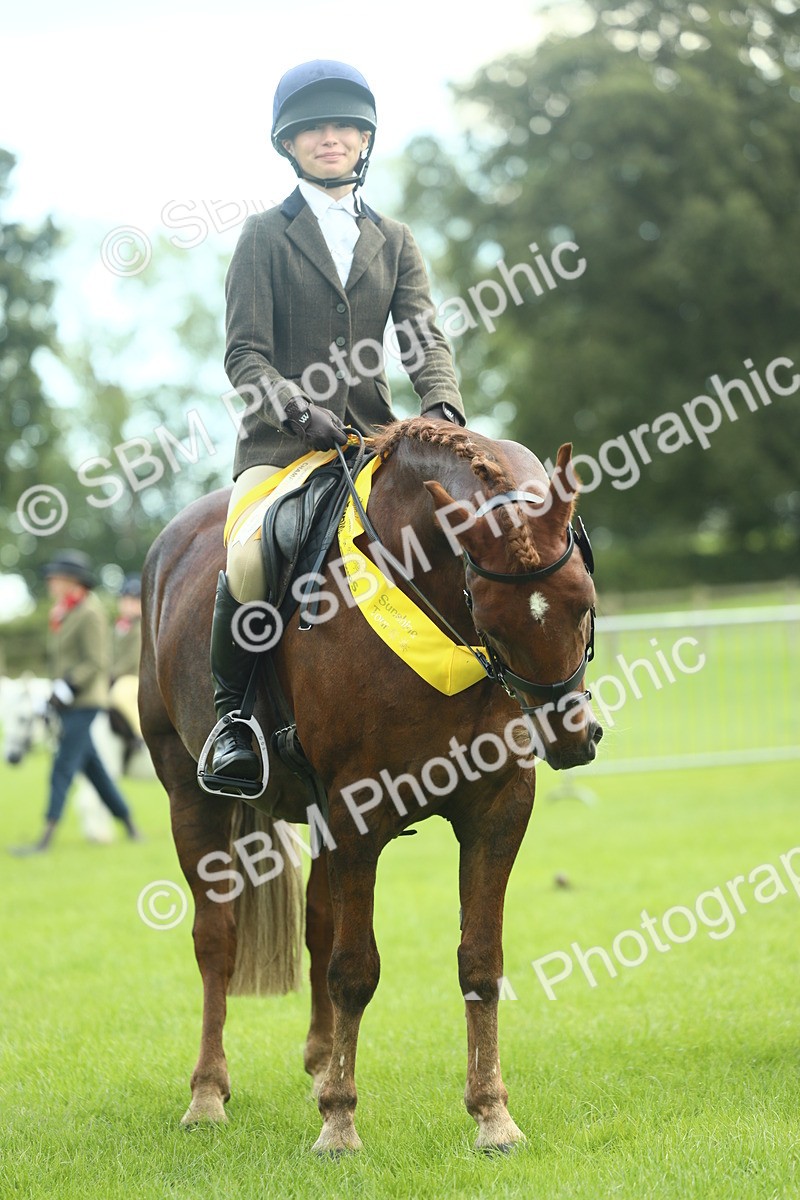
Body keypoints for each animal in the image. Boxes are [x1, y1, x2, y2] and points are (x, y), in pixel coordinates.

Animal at [138, 418, 602, 1153]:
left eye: (582, 602)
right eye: (490, 617)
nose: (569, 740)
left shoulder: (497, 808)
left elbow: (480, 961)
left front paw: (492, 1115)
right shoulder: (358, 810)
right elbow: (355, 969)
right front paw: (340, 1125)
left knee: (317, 926)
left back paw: (320, 1064)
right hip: (192, 797)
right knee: (216, 940)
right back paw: (208, 1094)